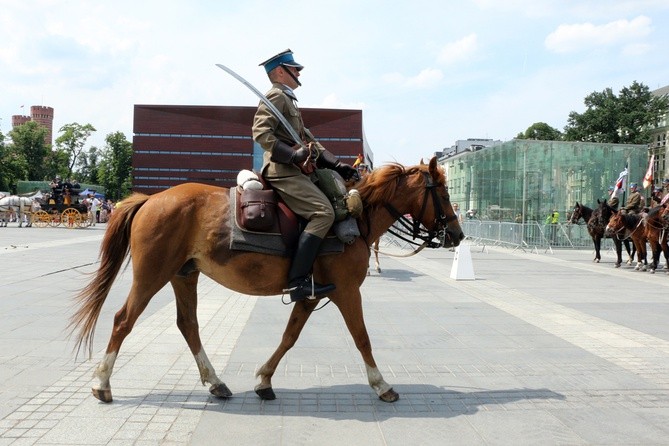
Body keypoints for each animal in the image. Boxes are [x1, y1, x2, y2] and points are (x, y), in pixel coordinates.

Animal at [70, 158, 462, 404]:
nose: (457, 235)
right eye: (443, 194)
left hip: (184, 275)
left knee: (188, 324)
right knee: (123, 320)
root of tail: (151, 198)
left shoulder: (310, 294)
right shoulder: (348, 292)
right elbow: (362, 338)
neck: (356, 216)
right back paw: (102, 383)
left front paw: (264, 379)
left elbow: (289, 337)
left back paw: (216, 382)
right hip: (153, 274)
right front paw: (381, 385)